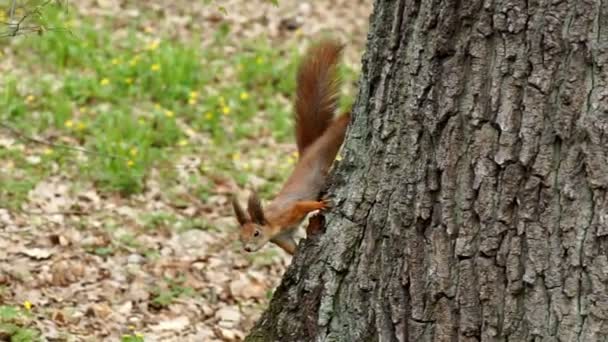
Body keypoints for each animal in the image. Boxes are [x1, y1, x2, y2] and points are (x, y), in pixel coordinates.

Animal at [230, 38, 350, 255]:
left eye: (256, 233)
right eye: (240, 237)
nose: (248, 249)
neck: (272, 223)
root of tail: (307, 152)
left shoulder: (288, 212)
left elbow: (303, 206)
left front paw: (321, 204)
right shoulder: (282, 237)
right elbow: (292, 249)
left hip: (328, 143)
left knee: (339, 125)